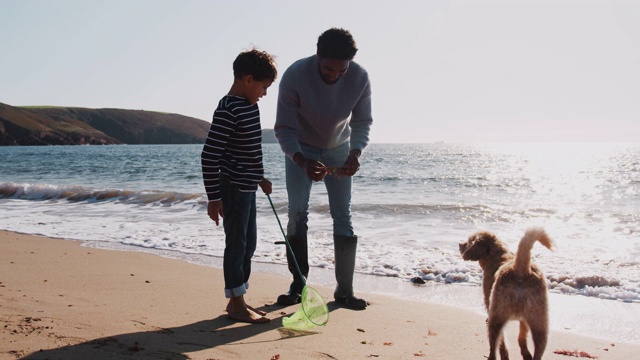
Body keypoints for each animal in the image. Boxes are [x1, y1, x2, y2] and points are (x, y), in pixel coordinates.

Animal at [460, 228, 556, 360]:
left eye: (469, 242)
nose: (460, 244)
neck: (498, 256)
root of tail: (521, 269)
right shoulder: (524, 320)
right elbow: (522, 335)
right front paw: (525, 352)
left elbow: (502, 342)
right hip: (540, 323)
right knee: (539, 348)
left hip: (496, 317)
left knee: (493, 347)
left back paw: (491, 356)